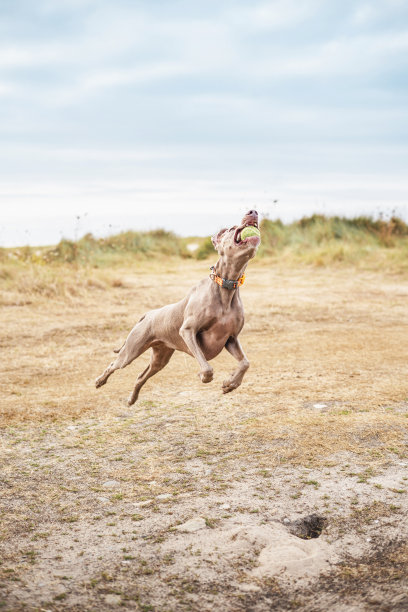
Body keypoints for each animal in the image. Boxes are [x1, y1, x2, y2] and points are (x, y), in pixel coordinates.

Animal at [95, 210, 262, 406]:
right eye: (231, 228)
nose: (253, 212)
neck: (226, 286)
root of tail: (147, 314)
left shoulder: (231, 338)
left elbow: (245, 363)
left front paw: (230, 383)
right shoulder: (188, 331)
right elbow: (207, 368)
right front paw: (204, 376)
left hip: (160, 357)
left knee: (140, 376)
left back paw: (132, 399)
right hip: (131, 350)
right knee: (114, 364)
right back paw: (99, 381)